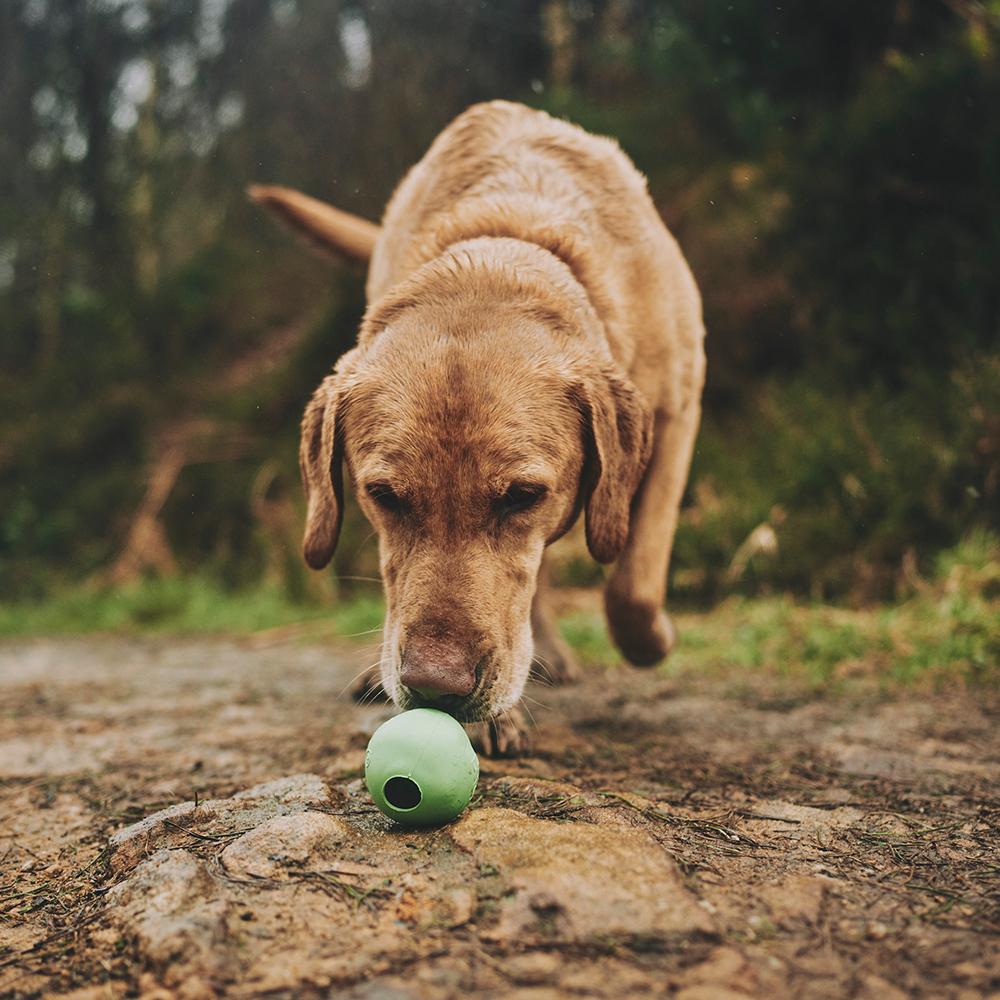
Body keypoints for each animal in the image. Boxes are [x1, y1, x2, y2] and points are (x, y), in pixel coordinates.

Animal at [248, 103, 704, 756]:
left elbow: (633, 586)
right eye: (383, 496)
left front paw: (655, 640)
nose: (434, 685)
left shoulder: (675, 413)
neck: (506, 237)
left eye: (522, 496)